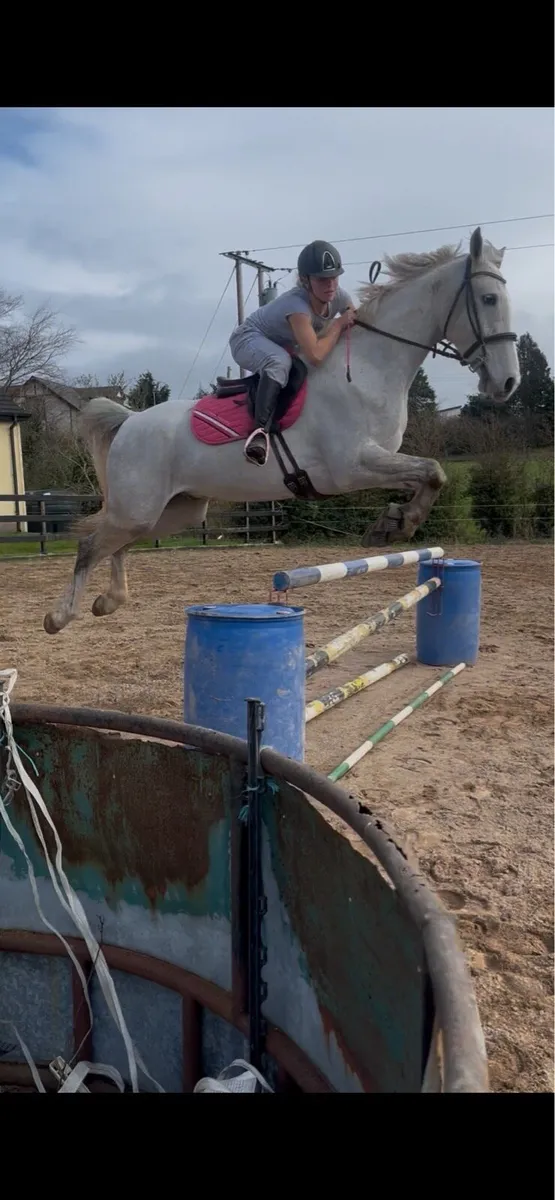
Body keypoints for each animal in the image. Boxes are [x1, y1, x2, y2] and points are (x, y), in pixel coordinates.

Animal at [43, 226, 519, 634]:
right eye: (489, 298)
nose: (508, 383)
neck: (371, 368)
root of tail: (129, 421)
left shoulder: (379, 461)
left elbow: (430, 475)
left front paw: (393, 521)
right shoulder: (352, 466)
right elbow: (433, 470)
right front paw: (397, 526)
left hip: (174, 510)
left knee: (119, 543)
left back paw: (108, 601)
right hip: (141, 506)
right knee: (91, 545)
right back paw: (60, 616)